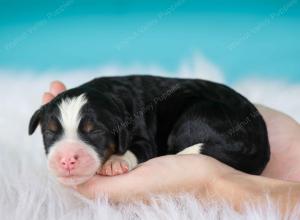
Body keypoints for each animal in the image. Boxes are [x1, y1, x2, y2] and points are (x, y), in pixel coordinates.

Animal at [28, 75, 270, 186]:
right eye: (49, 132)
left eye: (95, 132)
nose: (67, 159)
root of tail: (260, 145)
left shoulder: (145, 137)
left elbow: (136, 148)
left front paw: (115, 162)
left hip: (196, 116)